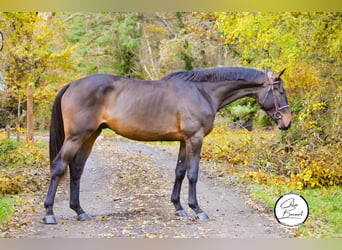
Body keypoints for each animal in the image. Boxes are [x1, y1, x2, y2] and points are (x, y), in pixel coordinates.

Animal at [44, 65, 292, 224]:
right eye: (279, 90)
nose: (287, 121)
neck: (202, 92)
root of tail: (72, 84)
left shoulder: (184, 140)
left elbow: (180, 172)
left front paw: (178, 207)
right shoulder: (195, 139)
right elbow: (193, 174)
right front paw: (197, 209)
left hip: (90, 136)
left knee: (76, 169)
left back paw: (79, 211)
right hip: (76, 137)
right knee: (58, 166)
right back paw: (49, 213)